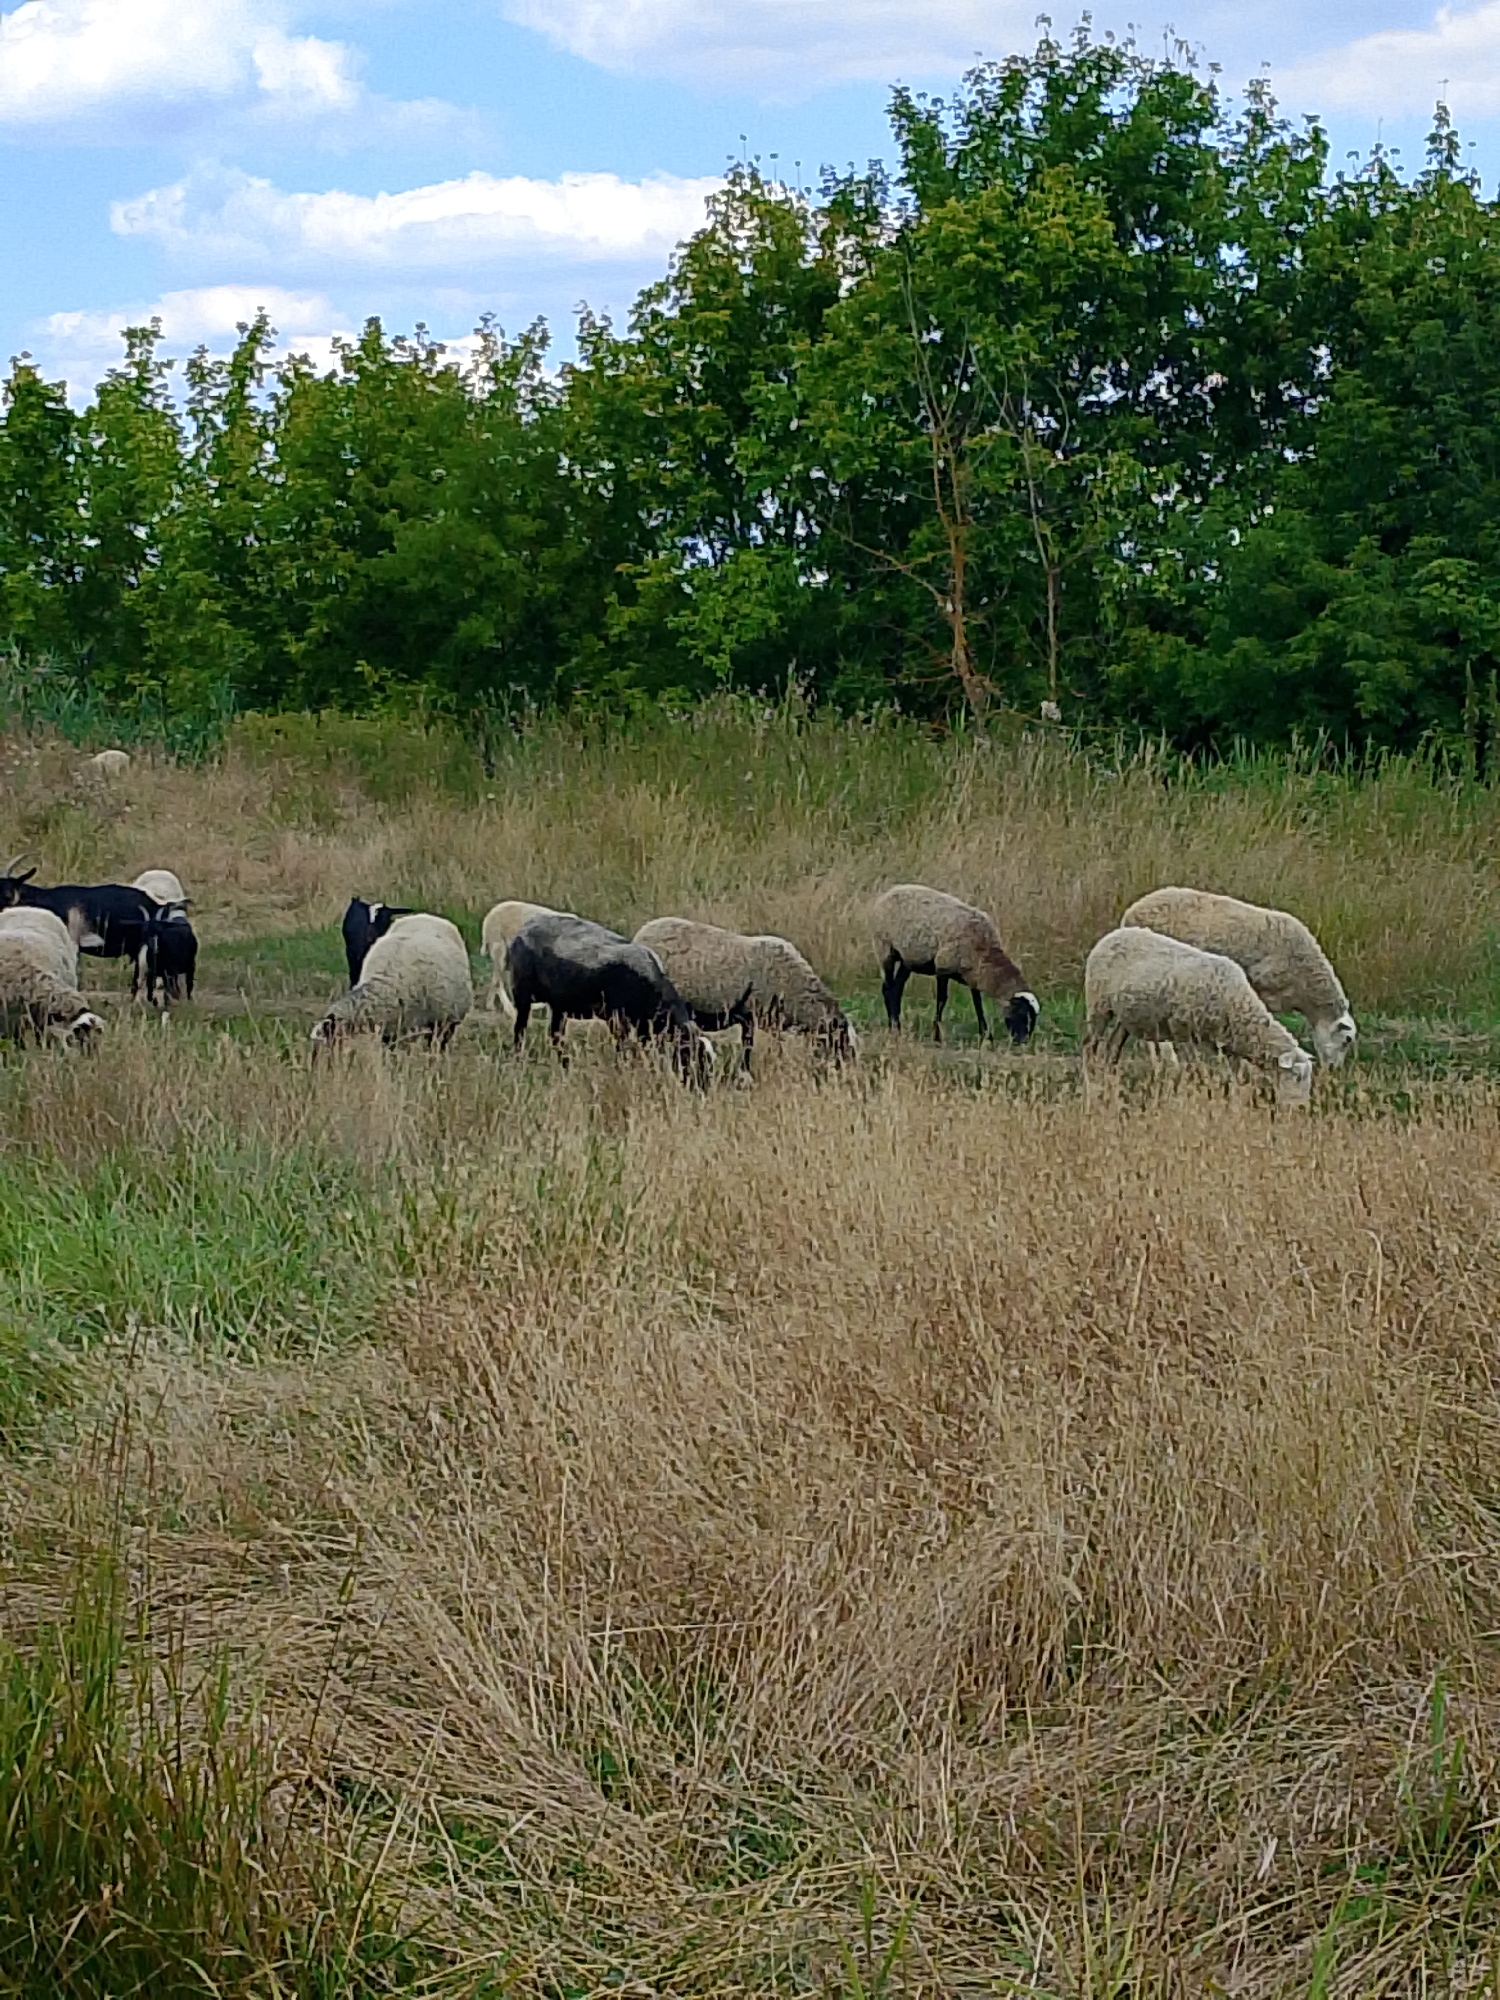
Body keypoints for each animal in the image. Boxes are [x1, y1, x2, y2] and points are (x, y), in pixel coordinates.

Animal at [507, 912, 713, 1086]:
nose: (701, 1089)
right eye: (691, 1056)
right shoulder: (617, 1019)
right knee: (520, 1029)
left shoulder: (642, 1025)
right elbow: (622, 1048)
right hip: (523, 991)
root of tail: (527, 925)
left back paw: (566, 1067)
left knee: (555, 1036)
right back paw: (519, 1061)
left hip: (559, 1004)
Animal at [633, 916, 855, 1068]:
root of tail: (642, 932)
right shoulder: (750, 1016)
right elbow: (748, 1046)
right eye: (843, 1043)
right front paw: (745, 1073)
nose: (847, 1074)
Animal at [870, 885, 1038, 1044]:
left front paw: (986, 1036)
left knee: (897, 989)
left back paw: (897, 1026)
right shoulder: (943, 967)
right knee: (888, 989)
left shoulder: (973, 976)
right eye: (1022, 1014)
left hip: (908, 959)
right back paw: (894, 1028)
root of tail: (887, 894)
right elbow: (941, 1001)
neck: (985, 952)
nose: (1023, 1041)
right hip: (884, 948)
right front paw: (937, 1037)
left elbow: (978, 1004)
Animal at [1084, 926, 1314, 1105]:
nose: (1300, 1108)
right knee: (1089, 1046)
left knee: (1112, 1048)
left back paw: (1109, 1081)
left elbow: (1236, 1077)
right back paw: (1092, 1083)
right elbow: (1193, 1069)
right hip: (1098, 1005)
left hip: (1123, 1018)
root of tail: (1111, 935)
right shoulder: (1185, 1030)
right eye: (1296, 1077)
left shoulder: (1226, 1044)